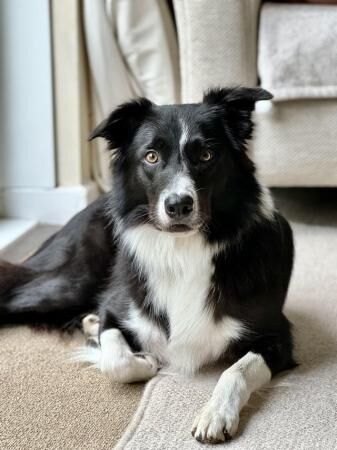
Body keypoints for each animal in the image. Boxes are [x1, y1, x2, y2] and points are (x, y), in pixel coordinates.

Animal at [0, 87, 294, 442]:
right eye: (151, 157)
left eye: (206, 155)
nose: (178, 205)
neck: (182, 251)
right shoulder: (115, 307)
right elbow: (117, 362)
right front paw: (146, 362)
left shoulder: (277, 334)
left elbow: (237, 370)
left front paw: (216, 414)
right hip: (68, 283)